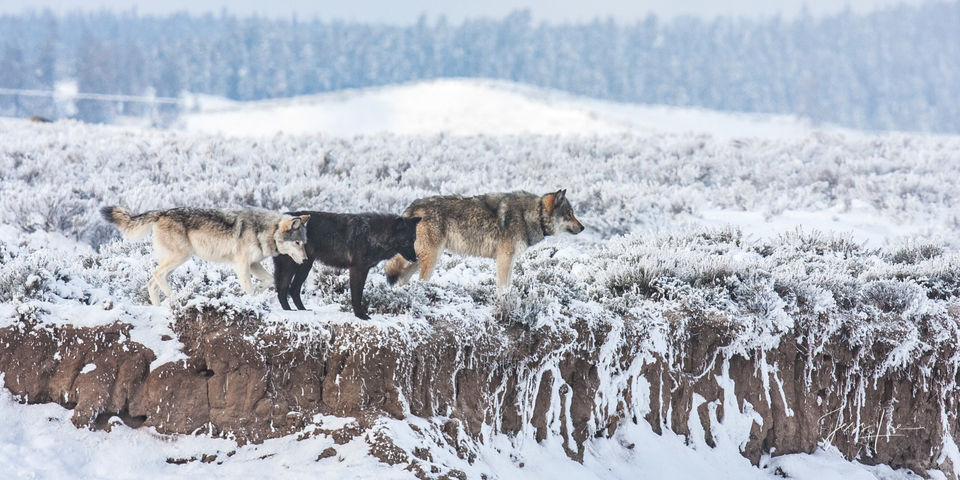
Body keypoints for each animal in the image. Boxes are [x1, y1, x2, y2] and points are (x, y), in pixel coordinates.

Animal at [100, 206, 309, 305]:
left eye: (304, 243)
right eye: (297, 243)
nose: (306, 260)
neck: (267, 230)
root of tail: (162, 212)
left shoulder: (253, 264)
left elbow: (267, 281)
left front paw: (259, 291)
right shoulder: (242, 264)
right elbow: (248, 288)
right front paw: (254, 297)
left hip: (175, 262)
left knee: (152, 283)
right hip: (180, 258)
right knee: (156, 275)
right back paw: (176, 297)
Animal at [272, 211, 421, 320]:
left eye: (414, 240)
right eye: (406, 241)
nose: (416, 258)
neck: (372, 235)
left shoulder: (364, 270)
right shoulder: (356, 269)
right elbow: (356, 295)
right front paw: (360, 316)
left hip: (305, 266)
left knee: (293, 289)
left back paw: (303, 311)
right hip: (291, 267)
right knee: (282, 290)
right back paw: (289, 312)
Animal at [384, 189, 584, 292]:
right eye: (569, 214)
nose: (582, 227)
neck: (533, 215)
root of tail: (411, 207)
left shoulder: (509, 259)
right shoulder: (504, 257)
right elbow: (503, 286)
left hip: (417, 259)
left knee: (401, 279)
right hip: (431, 258)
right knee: (418, 280)